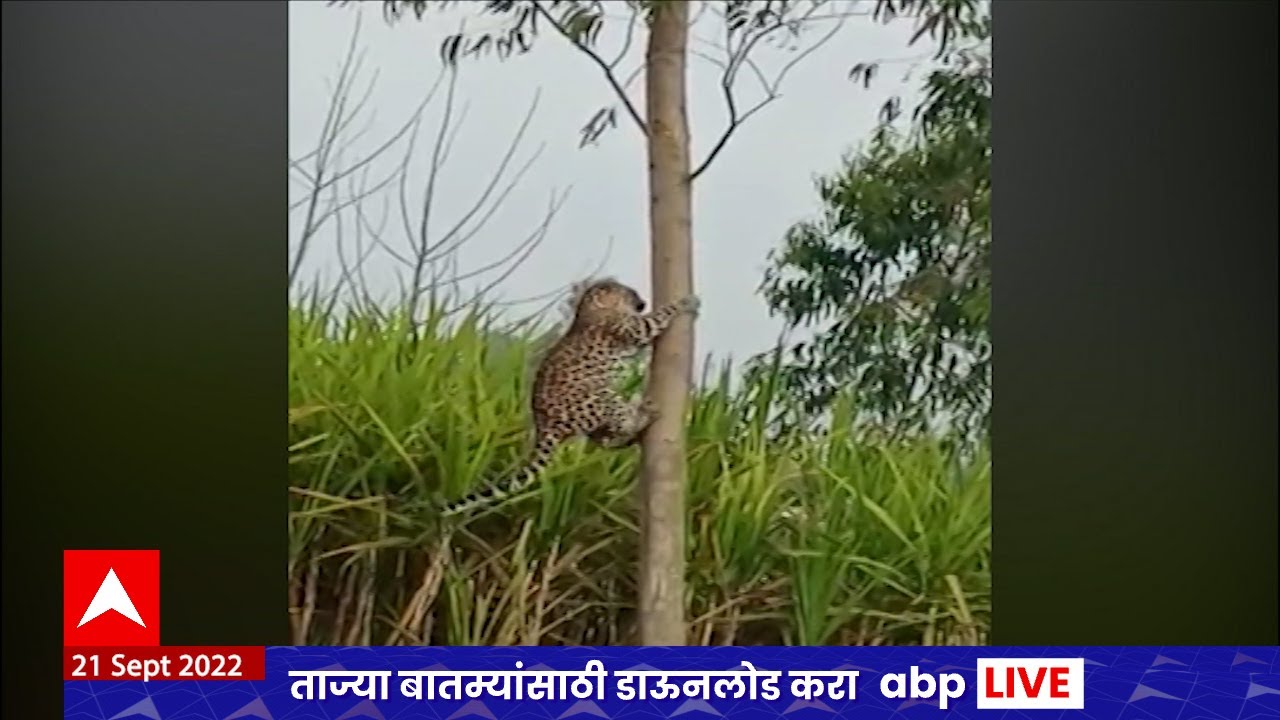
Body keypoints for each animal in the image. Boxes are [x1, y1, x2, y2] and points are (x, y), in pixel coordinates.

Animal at [441, 277, 700, 517]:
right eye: (631, 294)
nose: (642, 302)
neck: (591, 307)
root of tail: (544, 426)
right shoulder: (634, 328)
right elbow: (658, 316)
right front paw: (686, 302)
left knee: (606, 440)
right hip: (602, 396)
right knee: (617, 428)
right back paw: (645, 413)